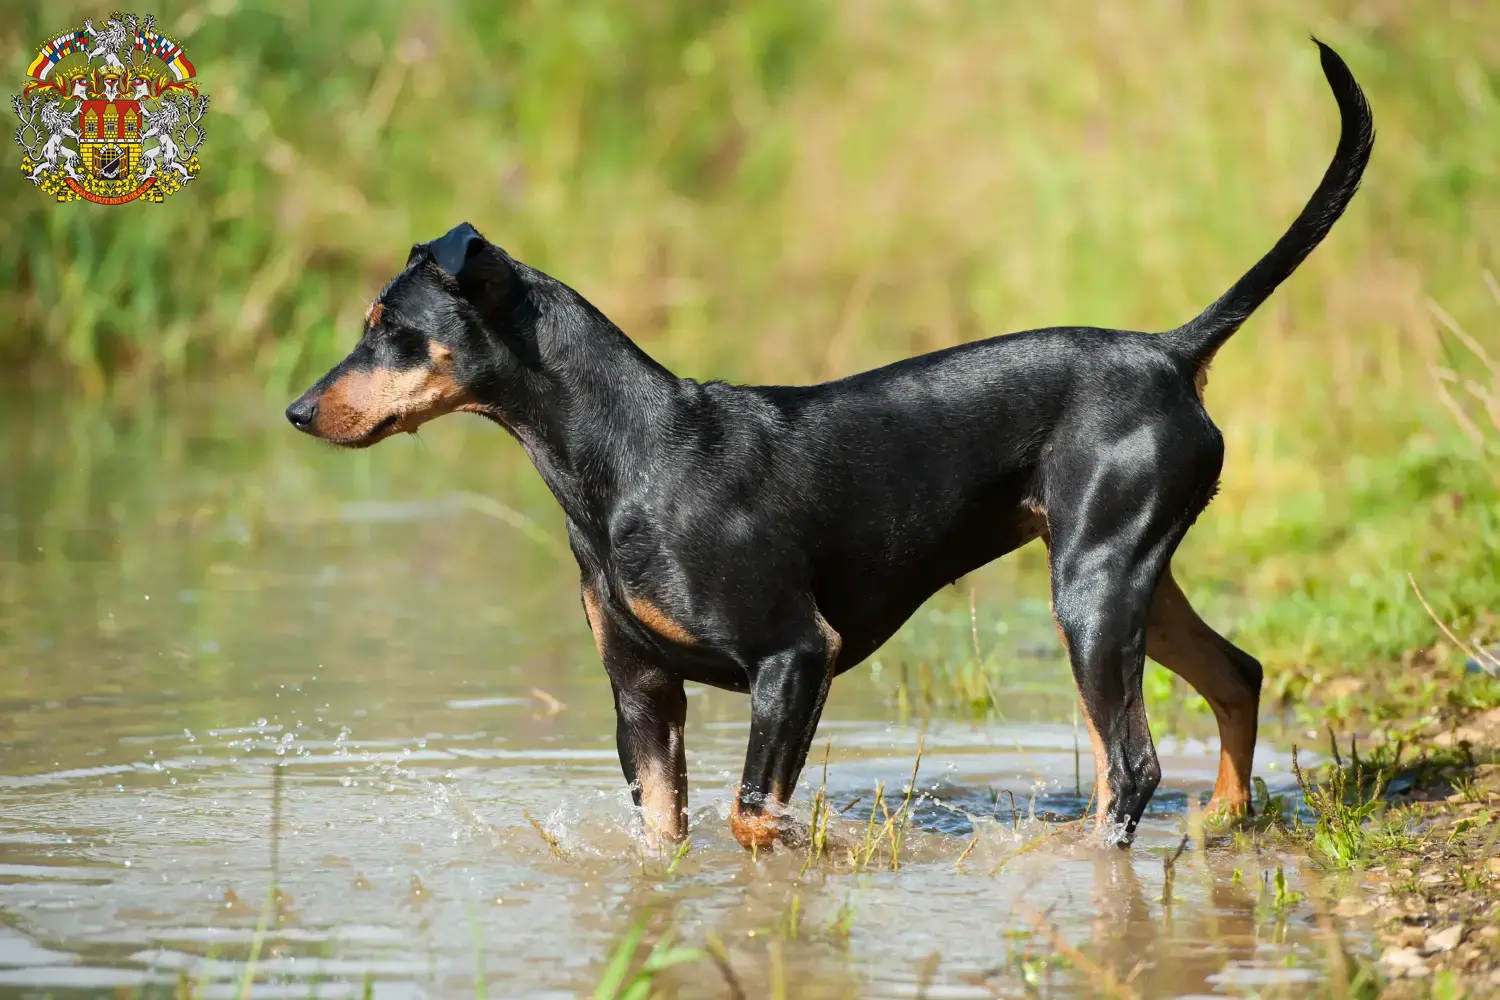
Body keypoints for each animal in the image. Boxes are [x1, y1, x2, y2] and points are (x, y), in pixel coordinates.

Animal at [286, 43, 1374, 851]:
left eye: (390, 325)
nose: (297, 410)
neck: (627, 458)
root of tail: (1168, 350)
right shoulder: (642, 692)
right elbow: (668, 838)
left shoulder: (796, 656)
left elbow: (752, 816)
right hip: (1128, 572)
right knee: (1238, 674)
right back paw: (1225, 820)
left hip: (1093, 590)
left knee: (1131, 765)